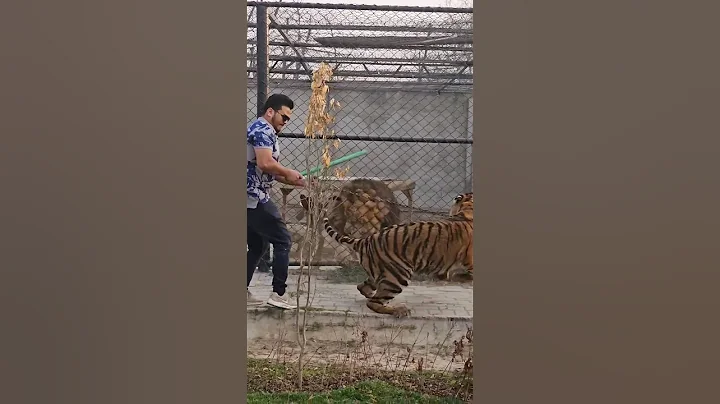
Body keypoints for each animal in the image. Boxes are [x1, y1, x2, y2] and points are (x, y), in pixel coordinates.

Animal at [323, 192, 473, 318]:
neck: (467, 210)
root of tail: (365, 240)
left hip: (379, 273)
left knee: (363, 287)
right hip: (397, 276)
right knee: (374, 302)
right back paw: (399, 310)